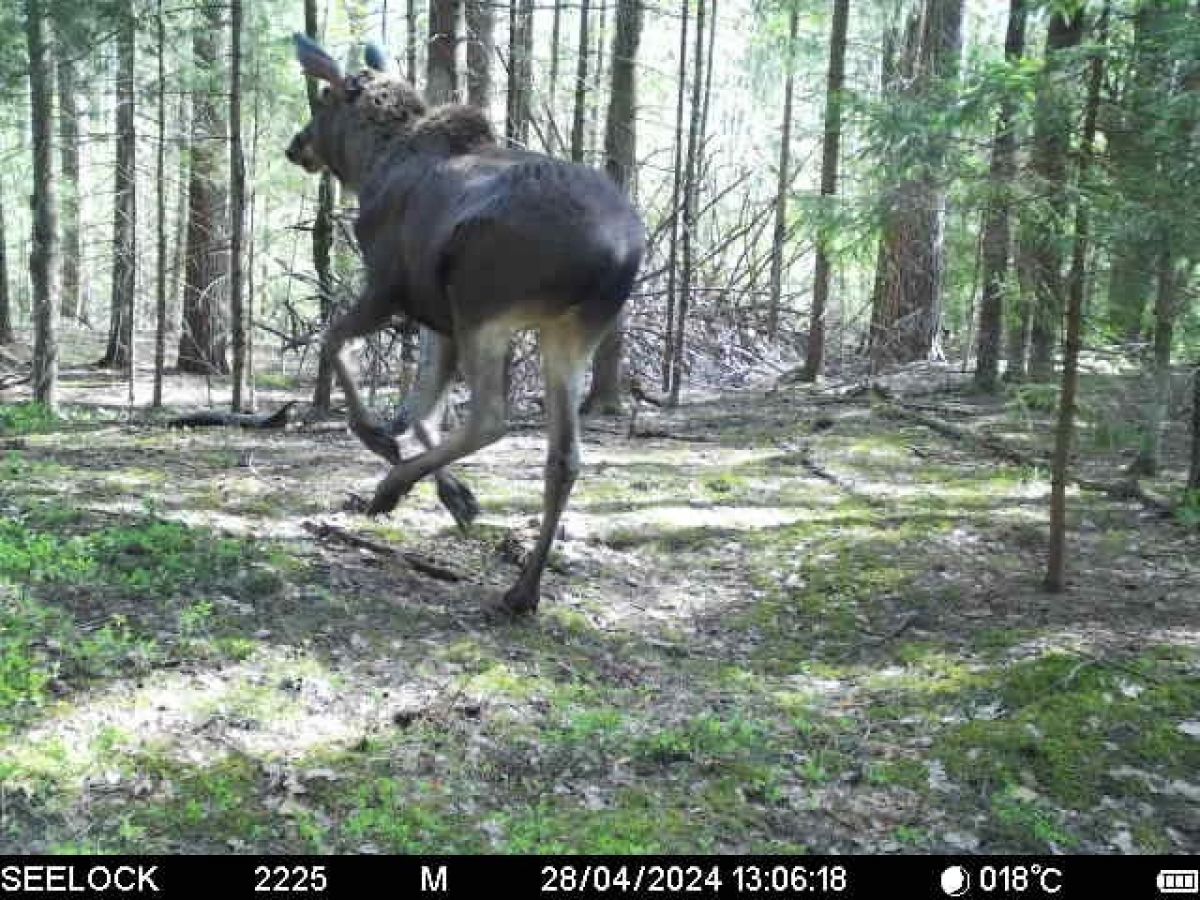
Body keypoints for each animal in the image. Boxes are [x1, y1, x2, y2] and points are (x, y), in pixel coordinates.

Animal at [288, 33, 648, 614]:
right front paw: (455, 495)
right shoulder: (436, 316)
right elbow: (421, 411)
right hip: (569, 331)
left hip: (485, 308)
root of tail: (616, 254)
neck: (371, 165)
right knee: (564, 456)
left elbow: (333, 344)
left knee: (491, 419)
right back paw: (522, 590)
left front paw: (377, 439)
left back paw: (390, 485)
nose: (295, 145)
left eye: (322, 99)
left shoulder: (389, 287)